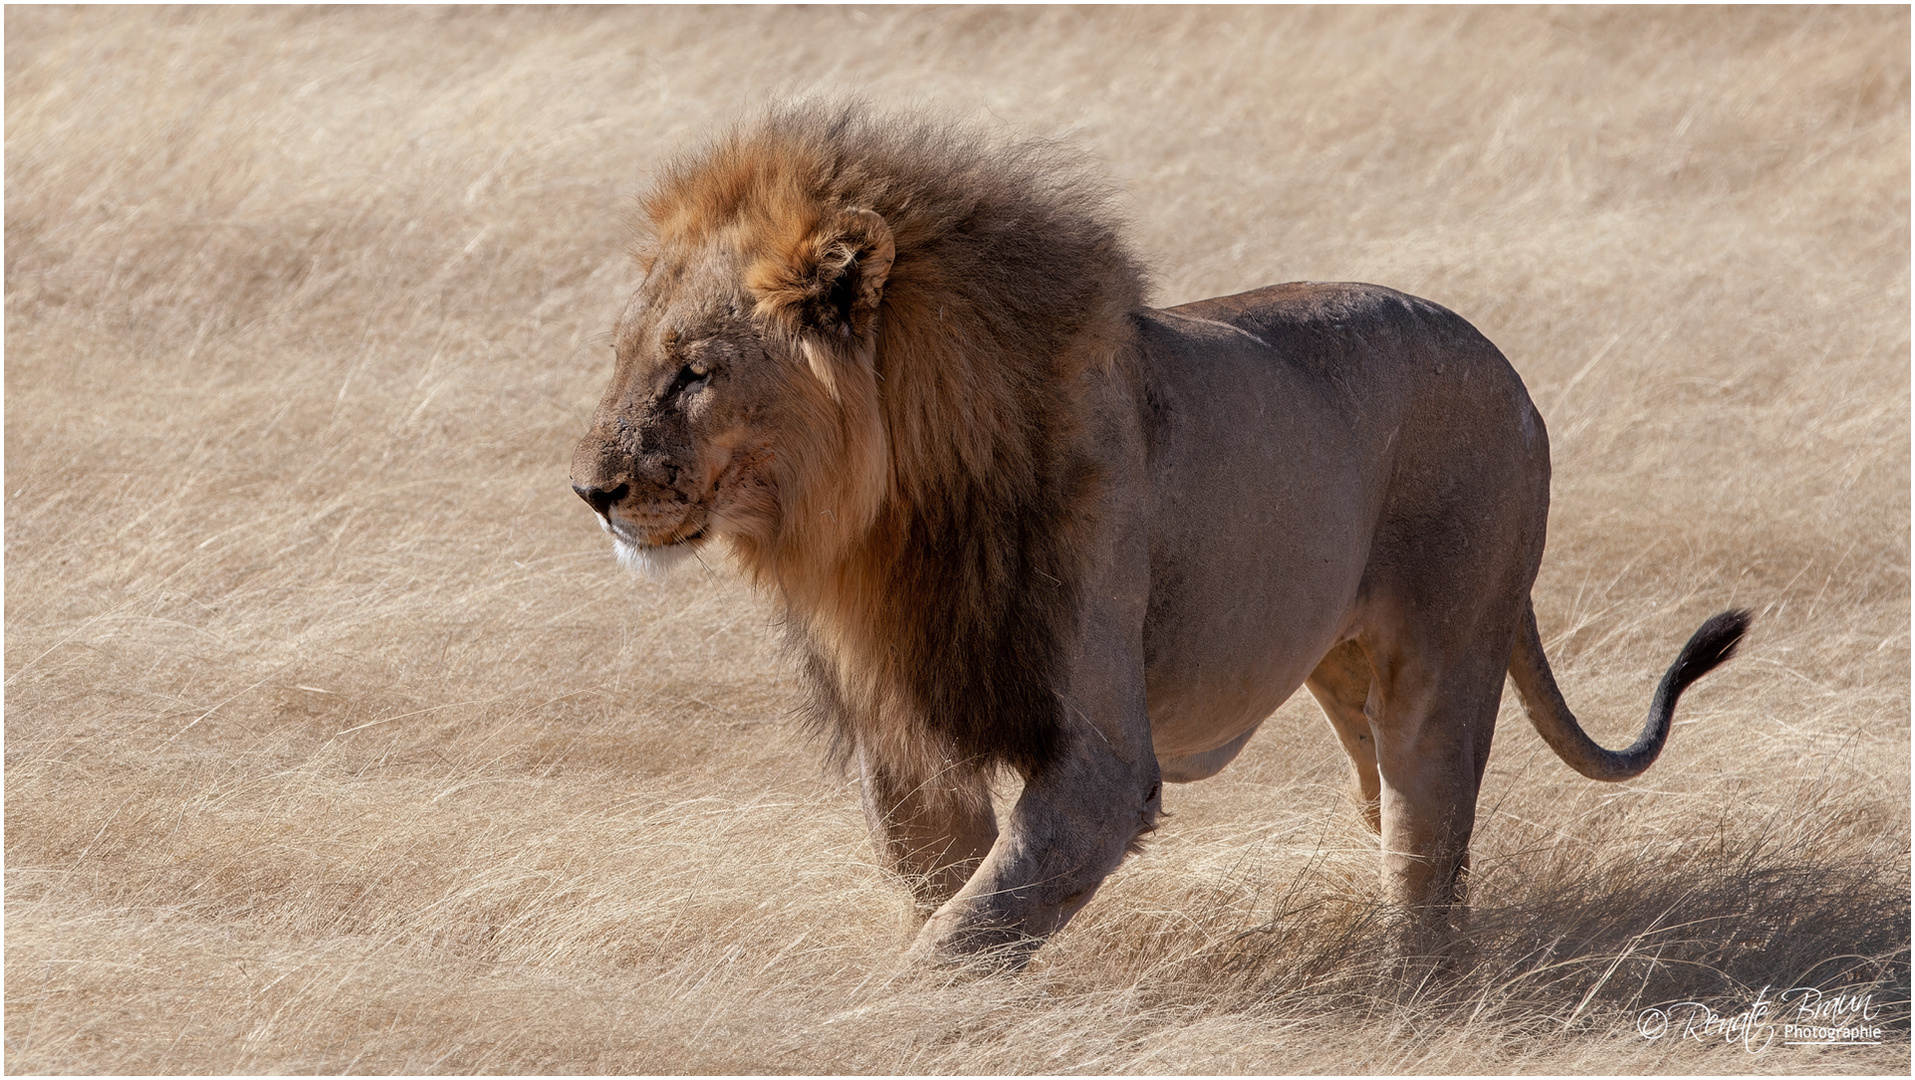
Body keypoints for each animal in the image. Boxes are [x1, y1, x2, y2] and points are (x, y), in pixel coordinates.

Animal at [566, 101, 1754, 961]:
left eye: (695, 371)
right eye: (628, 357)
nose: (590, 490)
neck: (884, 523)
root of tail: (1505, 368)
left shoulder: (1098, 761)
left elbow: (957, 939)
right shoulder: (905, 737)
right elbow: (947, 899)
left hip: (1446, 653)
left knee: (1425, 846)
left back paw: (1413, 991)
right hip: (1341, 669)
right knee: (1397, 825)